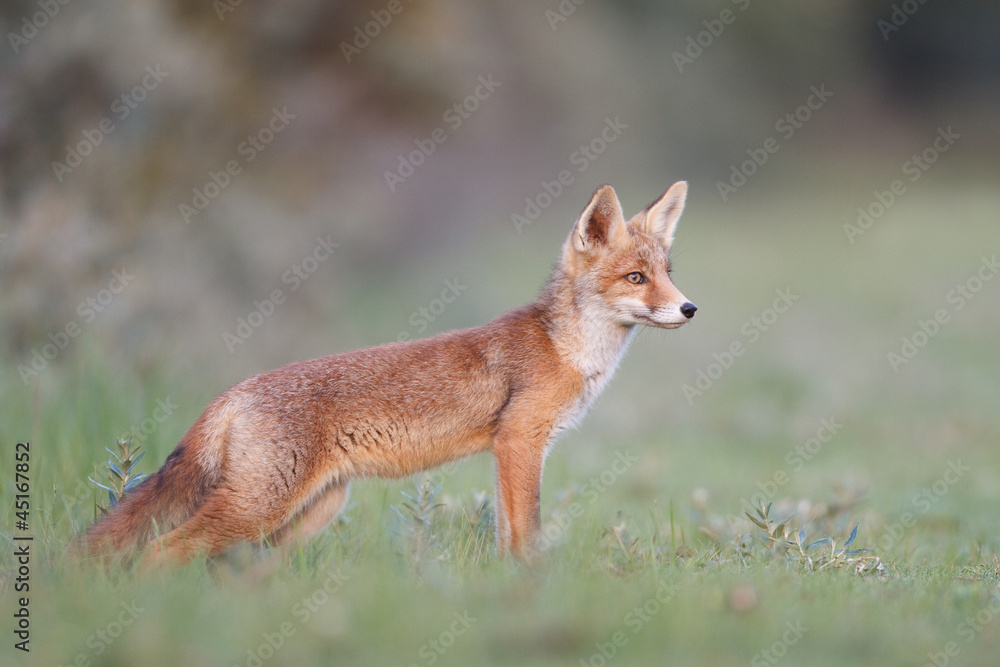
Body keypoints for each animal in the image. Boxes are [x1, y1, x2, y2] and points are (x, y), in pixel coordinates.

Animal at [80, 181, 697, 566]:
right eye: (636, 278)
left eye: (668, 273)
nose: (690, 309)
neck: (567, 349)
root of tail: (231, 393)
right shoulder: (521, 442)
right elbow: (528, 533)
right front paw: (531, 588)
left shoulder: (508, 451)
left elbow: (506, 533)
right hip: (256, 509)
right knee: (158, 553)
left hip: (311, 513)